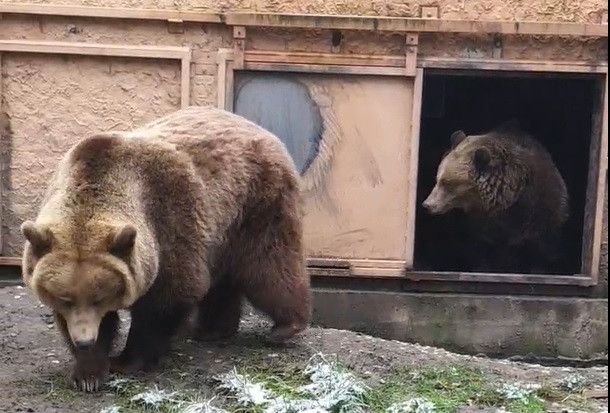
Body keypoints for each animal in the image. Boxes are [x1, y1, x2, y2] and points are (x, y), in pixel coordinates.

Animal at [20, 105, 308, 390]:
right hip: (222, 230)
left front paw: (126, 360)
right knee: (224, 280)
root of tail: (257, 127)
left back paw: (286, 326)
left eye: (99, 297)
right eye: (65, 298)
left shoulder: (167, 220)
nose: (84, 340)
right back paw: (212, 329)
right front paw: (88, 373)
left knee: (268, 265)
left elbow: (169, 294)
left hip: (256, 202)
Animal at [420, 119, 568, 274]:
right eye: (438, 178)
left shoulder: (541, 212)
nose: (427, 205)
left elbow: (540, 252)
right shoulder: (482, 228)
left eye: (446, 182)